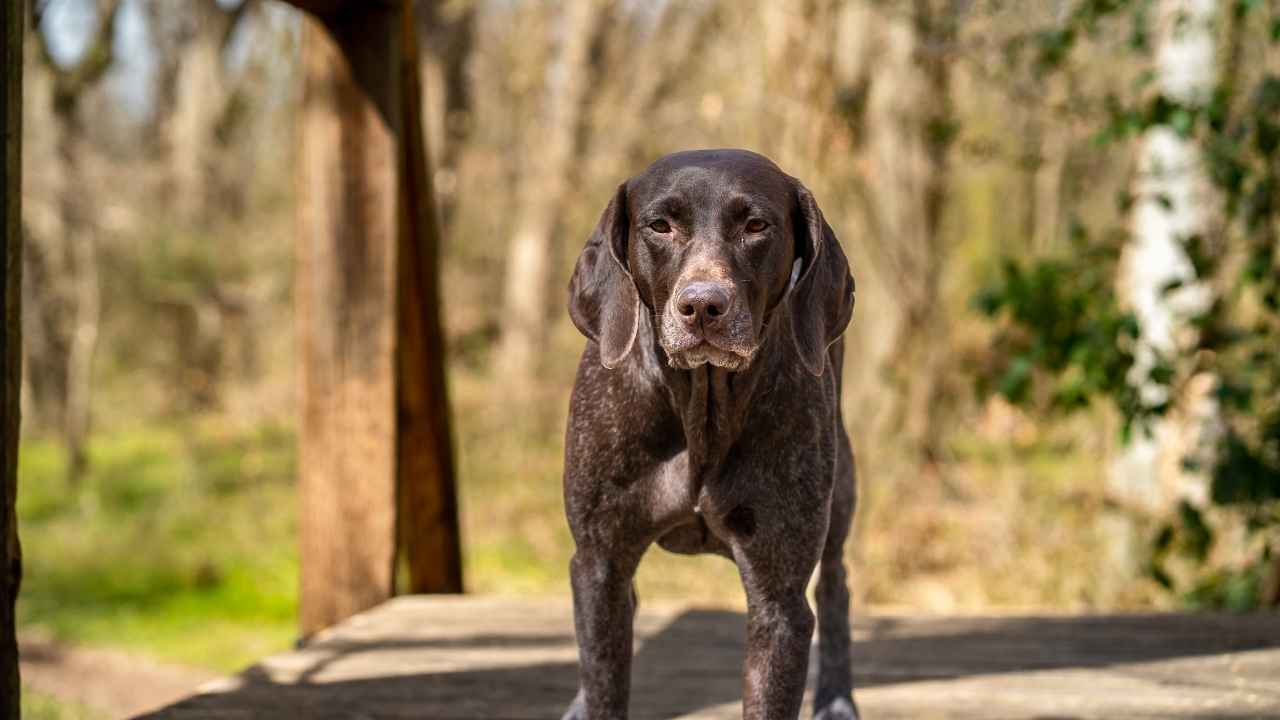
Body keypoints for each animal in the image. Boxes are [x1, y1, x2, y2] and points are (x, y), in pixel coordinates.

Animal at [563, 148, 855, 712]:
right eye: (660, 226)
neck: (702, 406)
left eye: (756, 226)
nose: (702, 305)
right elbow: (605, 681)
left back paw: (837, 700)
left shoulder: (779, 599)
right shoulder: (599, 566)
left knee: (836, 585)